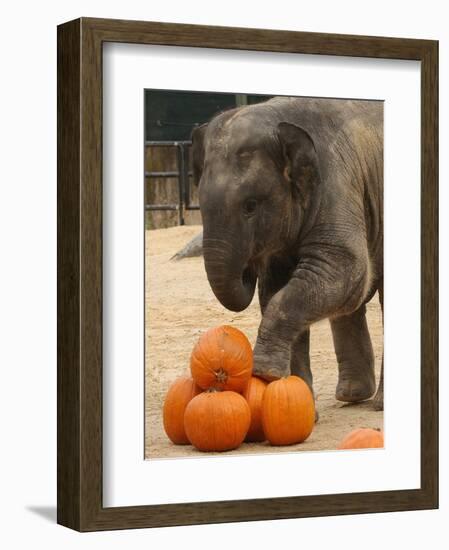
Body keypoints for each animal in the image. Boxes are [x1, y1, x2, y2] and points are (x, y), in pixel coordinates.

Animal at [191, 97, 384, 412]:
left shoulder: (337, 185)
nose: (248, 268)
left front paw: (264, 372)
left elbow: (346, 270)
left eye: (251, 205)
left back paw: (377, 404)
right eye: (201, 206)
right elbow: (275, 289)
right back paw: (352, 396)